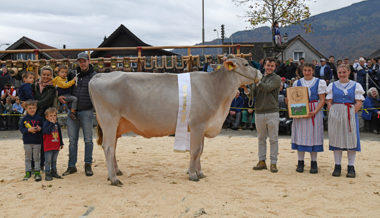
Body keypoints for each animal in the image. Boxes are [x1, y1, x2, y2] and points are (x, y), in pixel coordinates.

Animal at [88, 56, 262, 186]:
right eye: (246, 64)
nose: (260, 73)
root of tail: (100, 75)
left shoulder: (202, 127)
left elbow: (201, 150)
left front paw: (200, 172)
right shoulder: (198, 125)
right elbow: (195, 150)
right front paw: (193, 175)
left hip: (117, 123)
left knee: (114, 146)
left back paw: (116, 171)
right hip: (109, 119)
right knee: (108, 147)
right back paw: (114, 179)